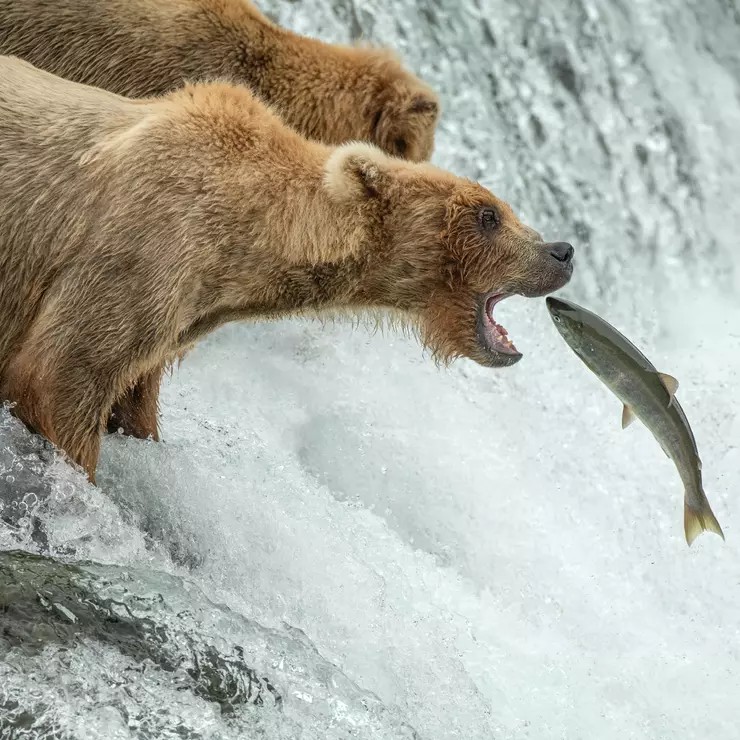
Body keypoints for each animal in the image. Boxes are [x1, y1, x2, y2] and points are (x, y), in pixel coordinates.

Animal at [0, 60, 576, 482]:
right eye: (488, 215)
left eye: (501, 208)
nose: (562, 251)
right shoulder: (143, 248)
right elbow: (62, 376)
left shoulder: (178, 312)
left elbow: (133, 397)